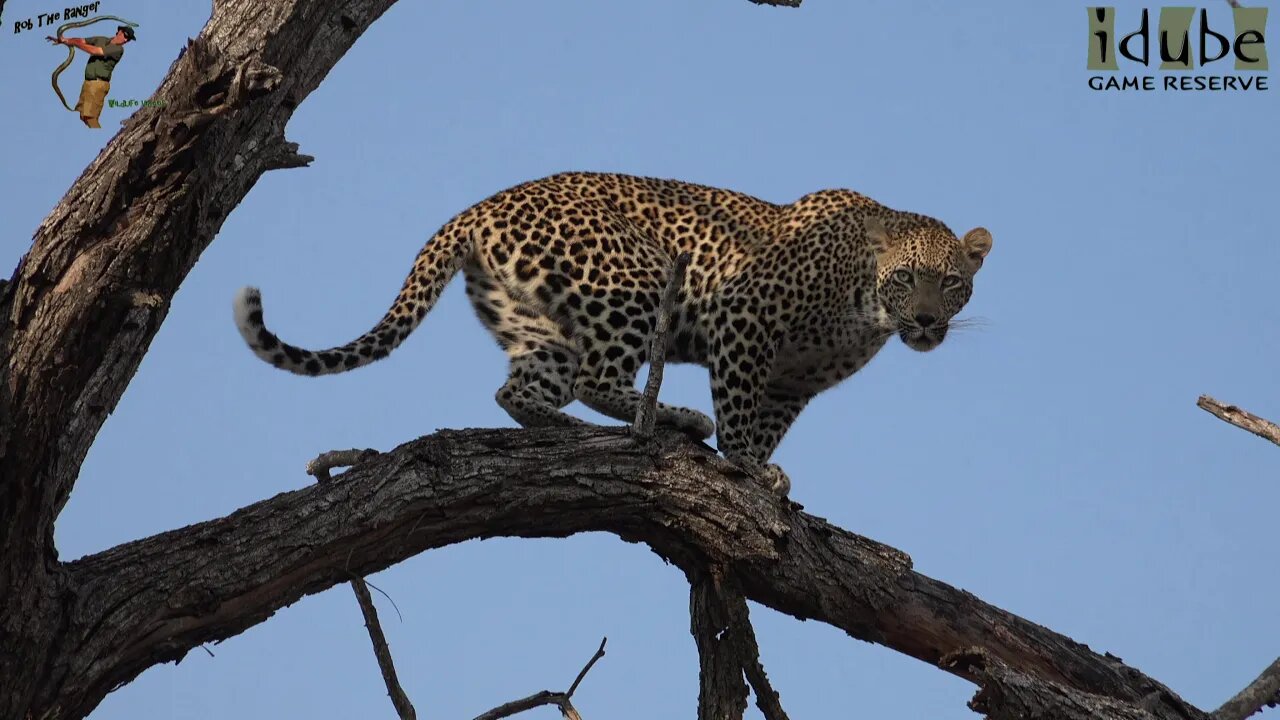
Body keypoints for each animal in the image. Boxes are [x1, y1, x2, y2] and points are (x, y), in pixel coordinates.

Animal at [235, 170, 993, 491]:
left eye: (953, 283)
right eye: (906, 278)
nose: (928, 321)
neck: (864, 307)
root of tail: (478, 208)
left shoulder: (791, 383)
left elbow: (768, 421)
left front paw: (764, 465)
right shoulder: (744, 323)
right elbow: (739, 414)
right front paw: (746, 467)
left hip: (537, 322)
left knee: (522, 391)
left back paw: (569, 431)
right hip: (633, 278)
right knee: (599, 377)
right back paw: (675, 419)